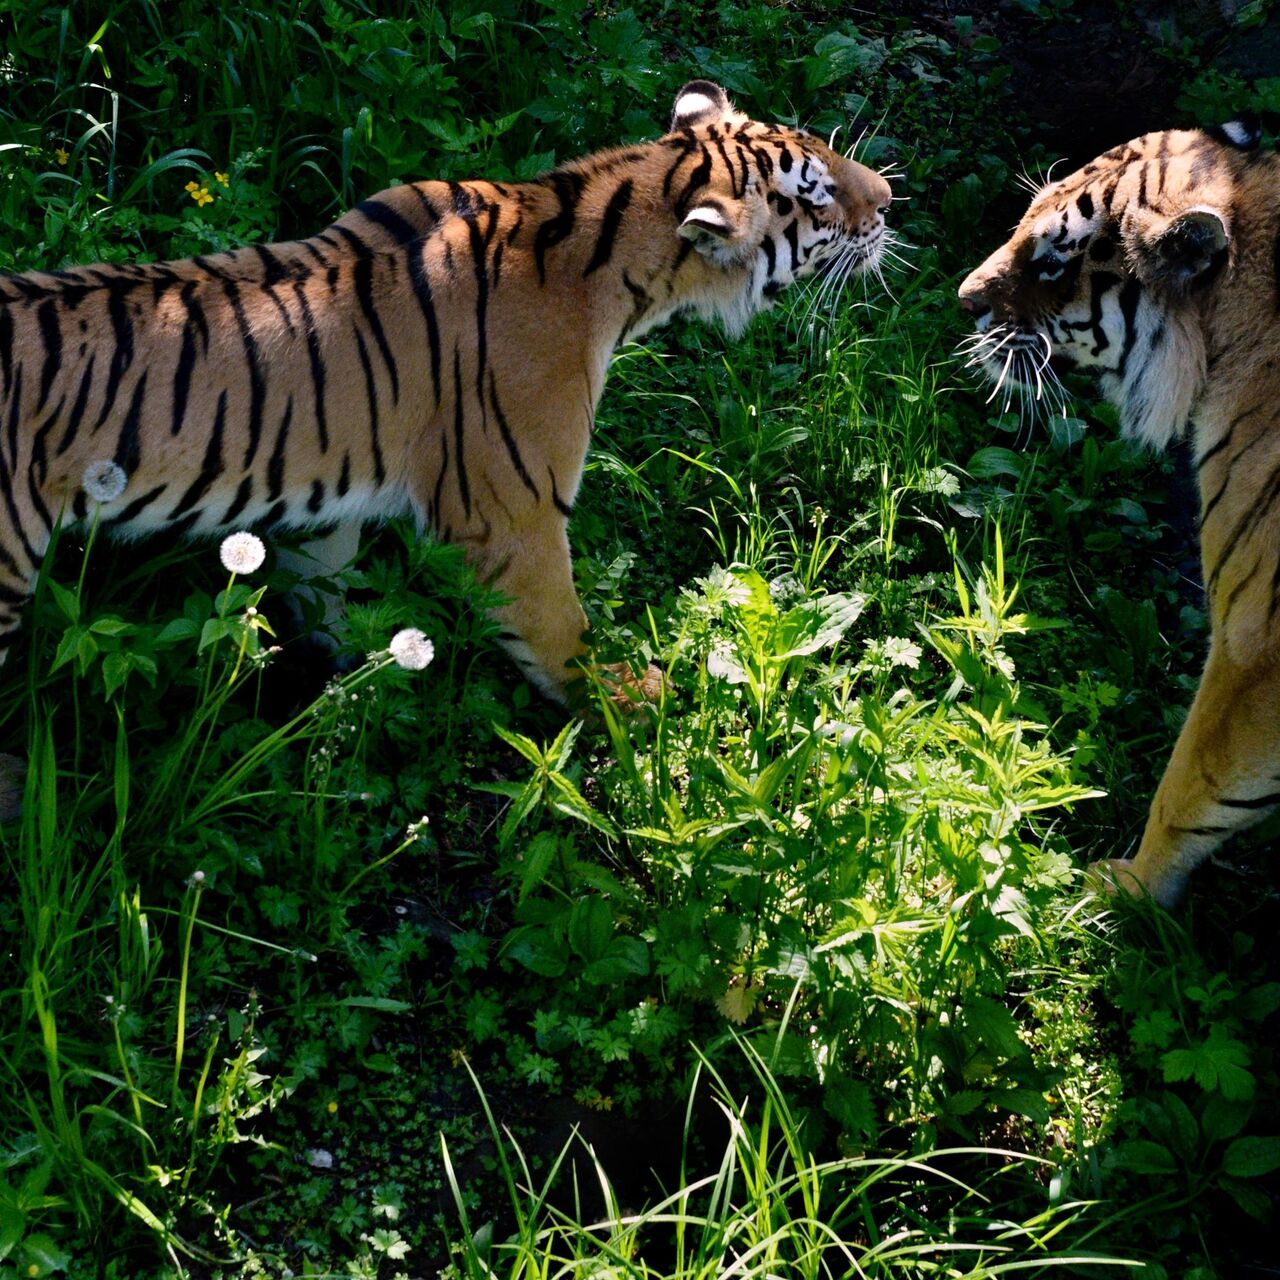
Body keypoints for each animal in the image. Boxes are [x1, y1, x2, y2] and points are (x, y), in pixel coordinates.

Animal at [0, 81, 890, 721]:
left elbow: (323, 602)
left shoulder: (321, 506)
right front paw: (637, 709)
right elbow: (562, 632)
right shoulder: (514, 509)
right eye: (815, 194)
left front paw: (344, 696)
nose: (887, 198)